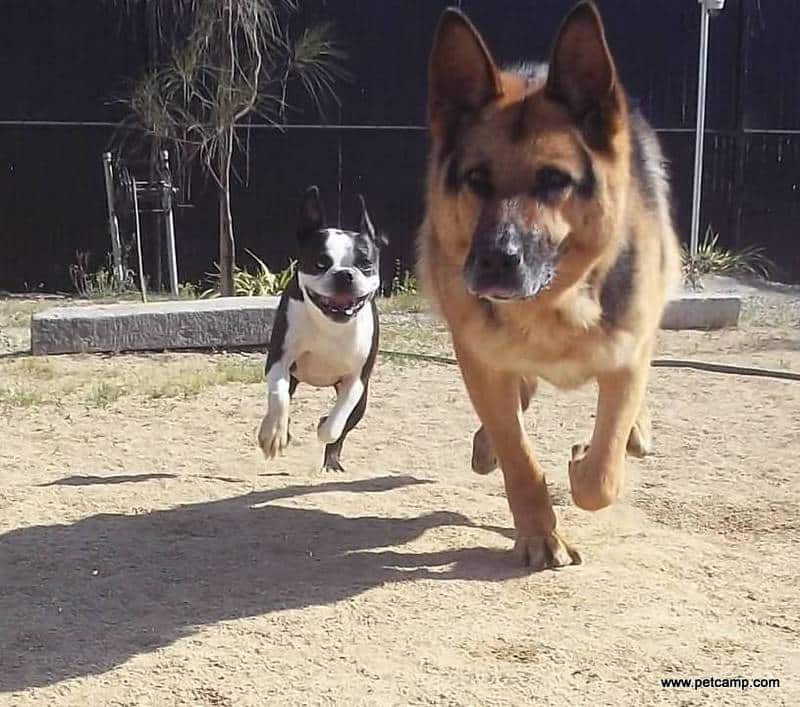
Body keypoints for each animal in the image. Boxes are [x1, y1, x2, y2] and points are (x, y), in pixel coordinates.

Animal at [258, 185, 386, 472]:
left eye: (365, 264)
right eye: (320, 263)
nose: (344, 274)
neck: (330, 325)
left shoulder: (356, 380)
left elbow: (337, 421)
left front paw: (324, 425)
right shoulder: (279, 361)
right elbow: (279, 397)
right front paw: (274, 435)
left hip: (363, 400)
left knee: (346, 424)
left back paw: (331, 461)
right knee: (281, 402)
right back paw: (273, 430)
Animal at [418, 2, 680, 568]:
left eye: (554, 180)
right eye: (476, 179)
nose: (494, 261)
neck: (550, 306)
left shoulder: (625, 359)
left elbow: (602, 475)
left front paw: (584, 462)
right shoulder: (482, 361)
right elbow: (519, 455)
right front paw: (540, 534)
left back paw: (637, 432)